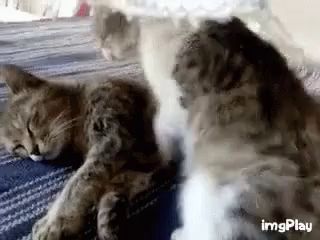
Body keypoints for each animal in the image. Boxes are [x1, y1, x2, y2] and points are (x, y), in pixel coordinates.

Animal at [0, 64, 162, 239]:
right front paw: (109, 221)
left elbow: (79, 183)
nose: (34, 152)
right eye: (18, 148)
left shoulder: (113, 138)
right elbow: (115, 188)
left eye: (29, 125)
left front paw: (55, 221)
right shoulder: (139, 165)